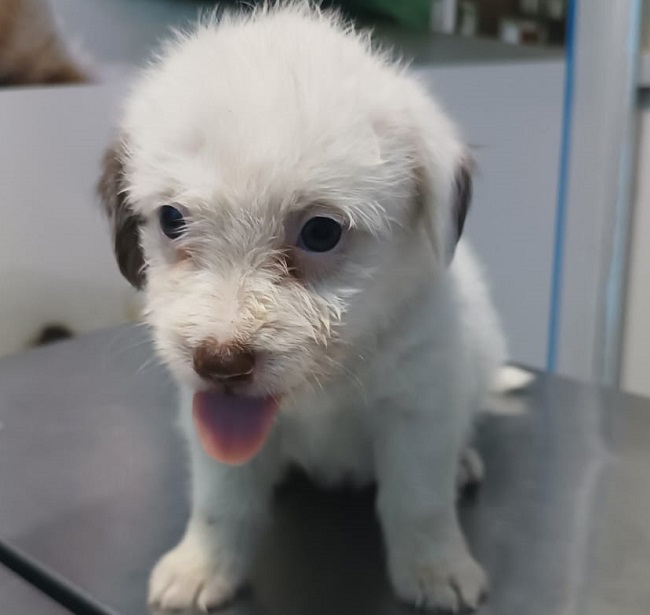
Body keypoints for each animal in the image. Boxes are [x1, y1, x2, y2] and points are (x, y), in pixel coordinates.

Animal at [98, 4, 507, 611]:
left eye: (321, 232)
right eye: (172, 219)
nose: (220, 363)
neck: (327, 383)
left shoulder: (420, 409)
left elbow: (420, 502)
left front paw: (437, 567)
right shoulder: (210, 426)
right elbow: (220, 501)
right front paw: (203, 565)